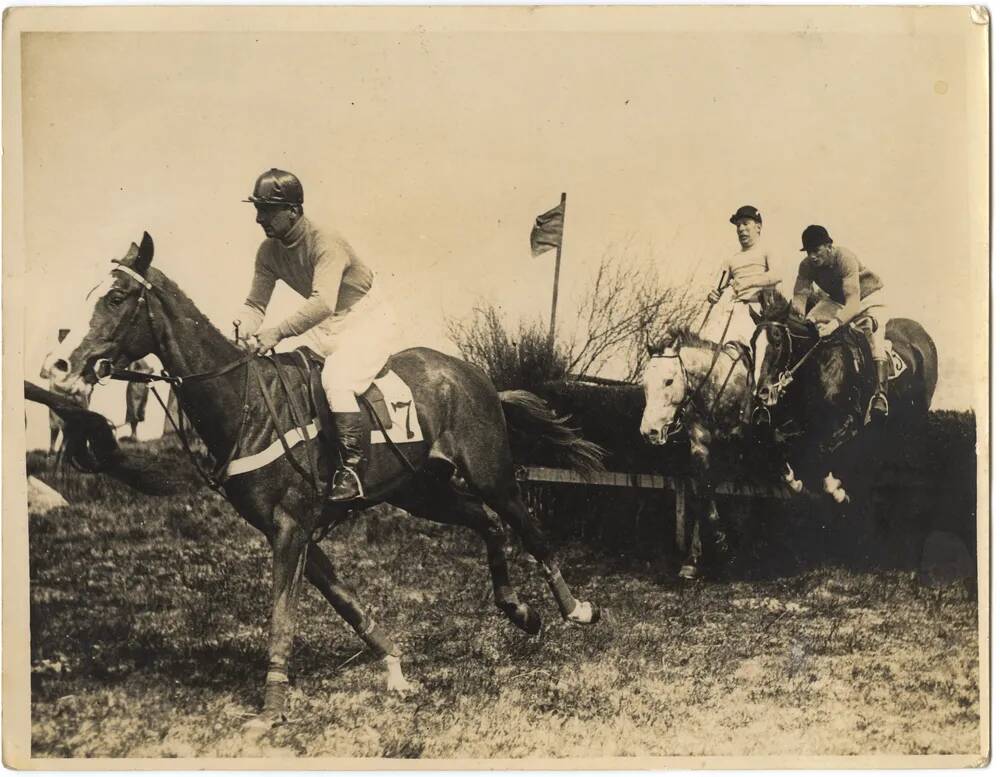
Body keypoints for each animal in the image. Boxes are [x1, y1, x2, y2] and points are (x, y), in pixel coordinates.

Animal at [41, 233, 600, 732]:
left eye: (115, 297)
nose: (58, 365)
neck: (246, 402)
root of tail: (475, 375)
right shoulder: (291, 529)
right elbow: (345, 601)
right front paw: (394, 668)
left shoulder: (292, 526)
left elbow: (282, 616)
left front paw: (270, 709)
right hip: (421, 491)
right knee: (487, 524)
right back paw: (519, 610)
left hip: (491, 475)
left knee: (528, 529)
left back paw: (574, 608)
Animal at [752, 292, 936, 504]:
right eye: (752, 344)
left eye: (777, 341)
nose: (762, 393)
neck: (818, 363)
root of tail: (922, 334)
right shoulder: (804, 420)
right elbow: (779, 437)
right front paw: (793, 479)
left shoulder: (849, 423)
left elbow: (822, 449)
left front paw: (834, 488)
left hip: (917, 411)